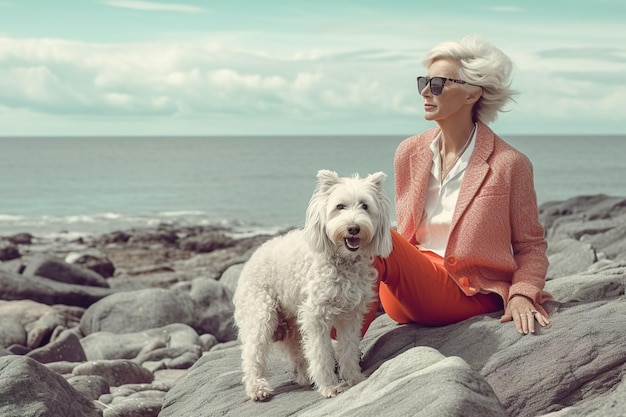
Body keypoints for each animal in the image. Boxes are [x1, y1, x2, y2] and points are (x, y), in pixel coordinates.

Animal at [233, 168, 390, 400]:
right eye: (339, 206)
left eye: (365, 206)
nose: (353, 228)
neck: (342, 261)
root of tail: (249, 261)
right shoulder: (316, 316)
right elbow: (321, 352)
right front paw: (329, 386)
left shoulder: (351, 315)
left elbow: (348, 348)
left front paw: (353, 378)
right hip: (261, 314)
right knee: (253, 352)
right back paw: (257, 388)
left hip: (292, 322)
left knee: (297, 350)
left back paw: (304, 377)